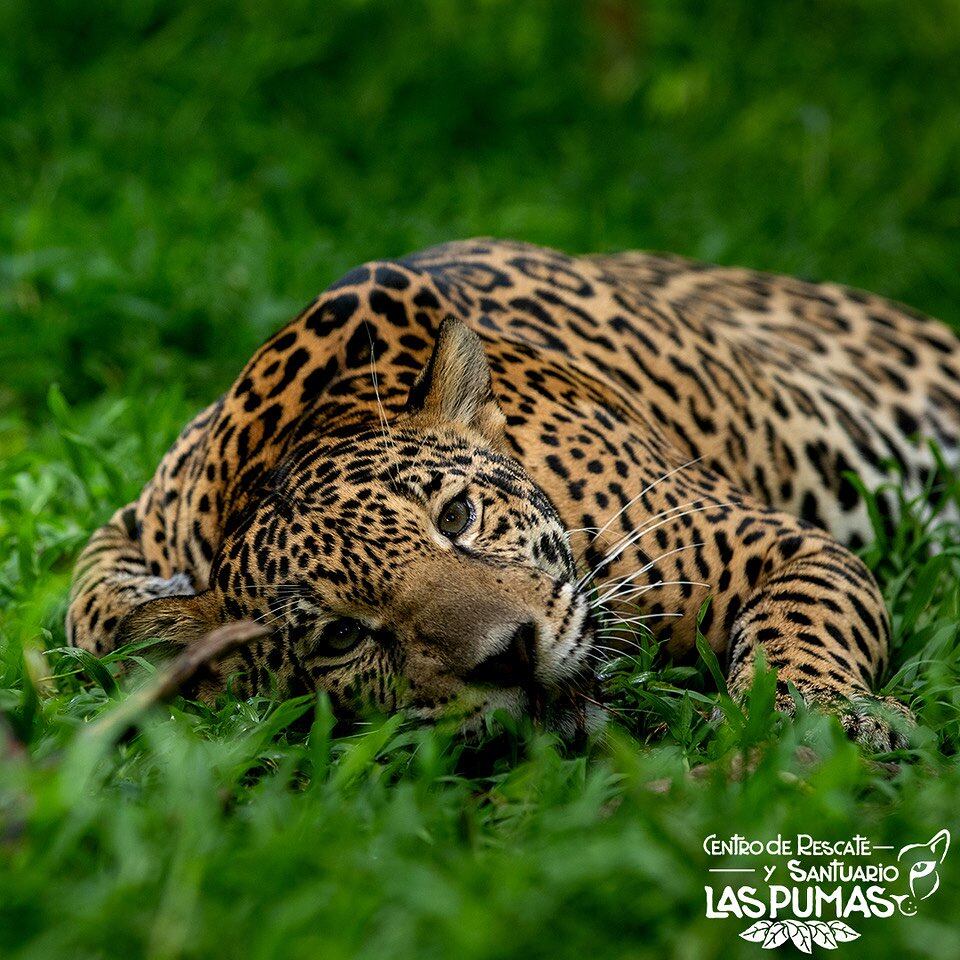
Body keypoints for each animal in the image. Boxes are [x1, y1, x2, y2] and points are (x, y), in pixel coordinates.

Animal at [67, 239, 960, 750]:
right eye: (340, 637)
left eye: (457, 516)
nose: (509, 657)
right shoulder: (139, 521)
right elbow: (93, 610)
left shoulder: (775, 542)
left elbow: (798, 622)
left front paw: (814, 715)